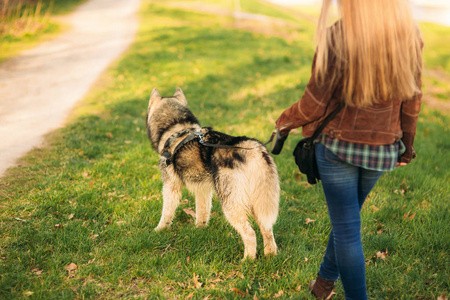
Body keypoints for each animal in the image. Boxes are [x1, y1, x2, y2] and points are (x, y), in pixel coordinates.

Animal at [146, 88, 280, 258]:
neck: (176, 128)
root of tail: (254, 149)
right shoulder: (202, 189)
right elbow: (202, 212)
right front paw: (199, 229)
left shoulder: (171, 186)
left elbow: (166, 213)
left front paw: (159, 230)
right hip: (260, 203)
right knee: (267, 230)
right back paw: (270, 255)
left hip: (231, 204)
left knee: (250, 233)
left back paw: (247, 260)